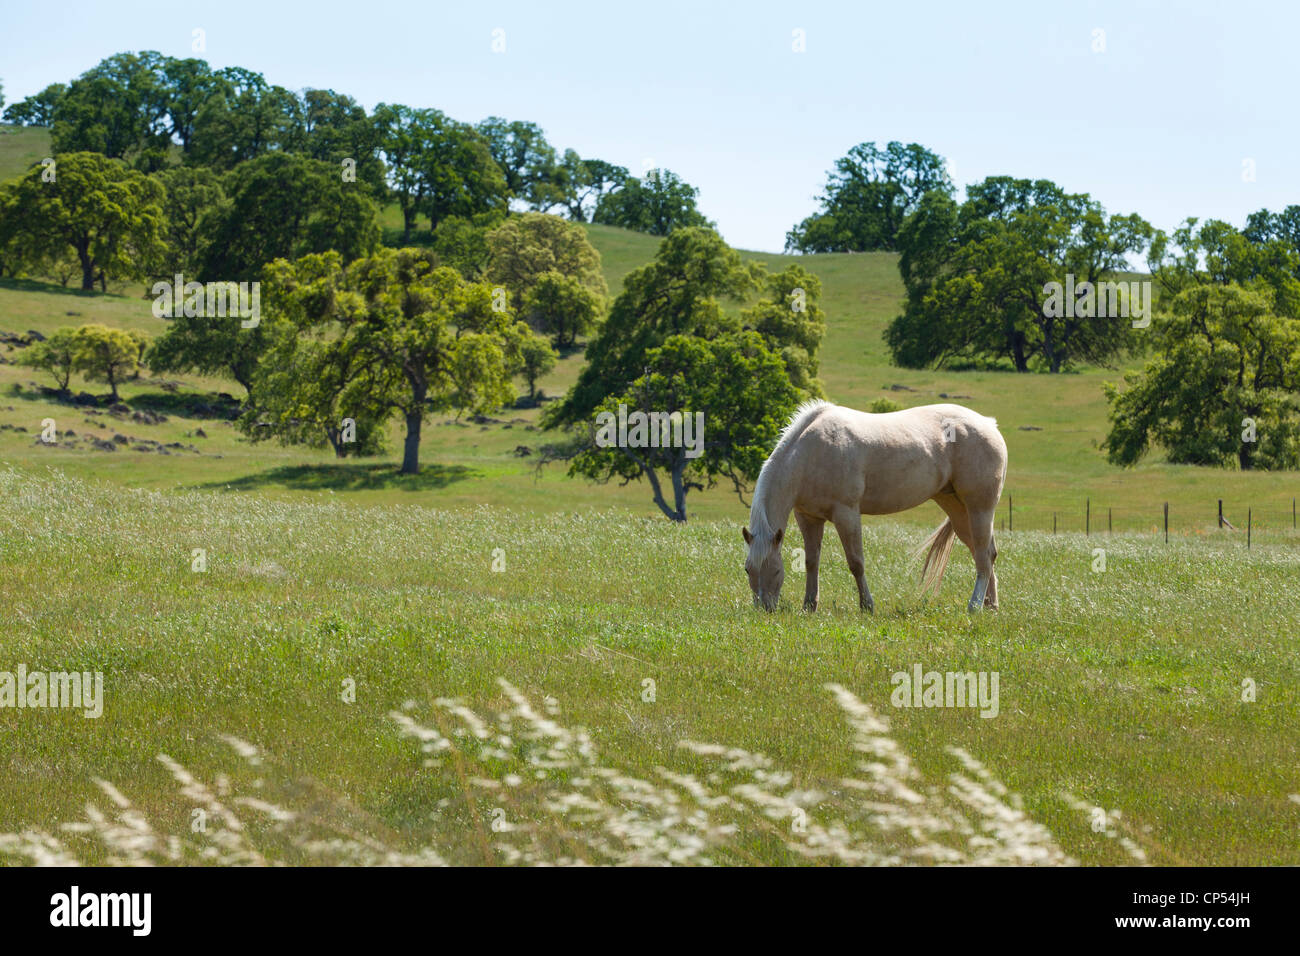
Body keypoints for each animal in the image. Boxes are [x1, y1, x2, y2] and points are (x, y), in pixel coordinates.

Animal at [743, 403, 1003, 613]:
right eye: (748, 570)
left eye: (776, 571)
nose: (763, 609)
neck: (811, 453)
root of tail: (989, 424)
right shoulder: (808, 517)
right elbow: (811, 562)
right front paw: (809, 606)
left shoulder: (846, 514)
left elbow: (856, 563)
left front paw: (867, 606)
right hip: (957, 510)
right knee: (985, 554)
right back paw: (990, 606)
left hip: (980, 508)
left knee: (983, 556)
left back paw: (974, 606)